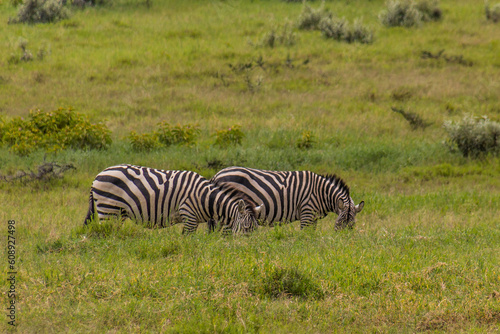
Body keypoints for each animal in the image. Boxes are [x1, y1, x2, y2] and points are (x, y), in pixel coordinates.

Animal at [83, 165, 262, 234]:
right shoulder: (189, 215)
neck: (207, 200)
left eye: (254, 229)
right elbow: (188, 240)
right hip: (108, 210)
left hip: (117, 213)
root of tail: (97, 176)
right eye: (246, 228)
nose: (246, 250)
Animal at [209, 166, 366, 230]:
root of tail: (217, 175)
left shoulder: (313, 216)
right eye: (339, 224)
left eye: (352, 226)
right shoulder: (307, 212)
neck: (321, 193)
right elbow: (305, 236)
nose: (342, 242)